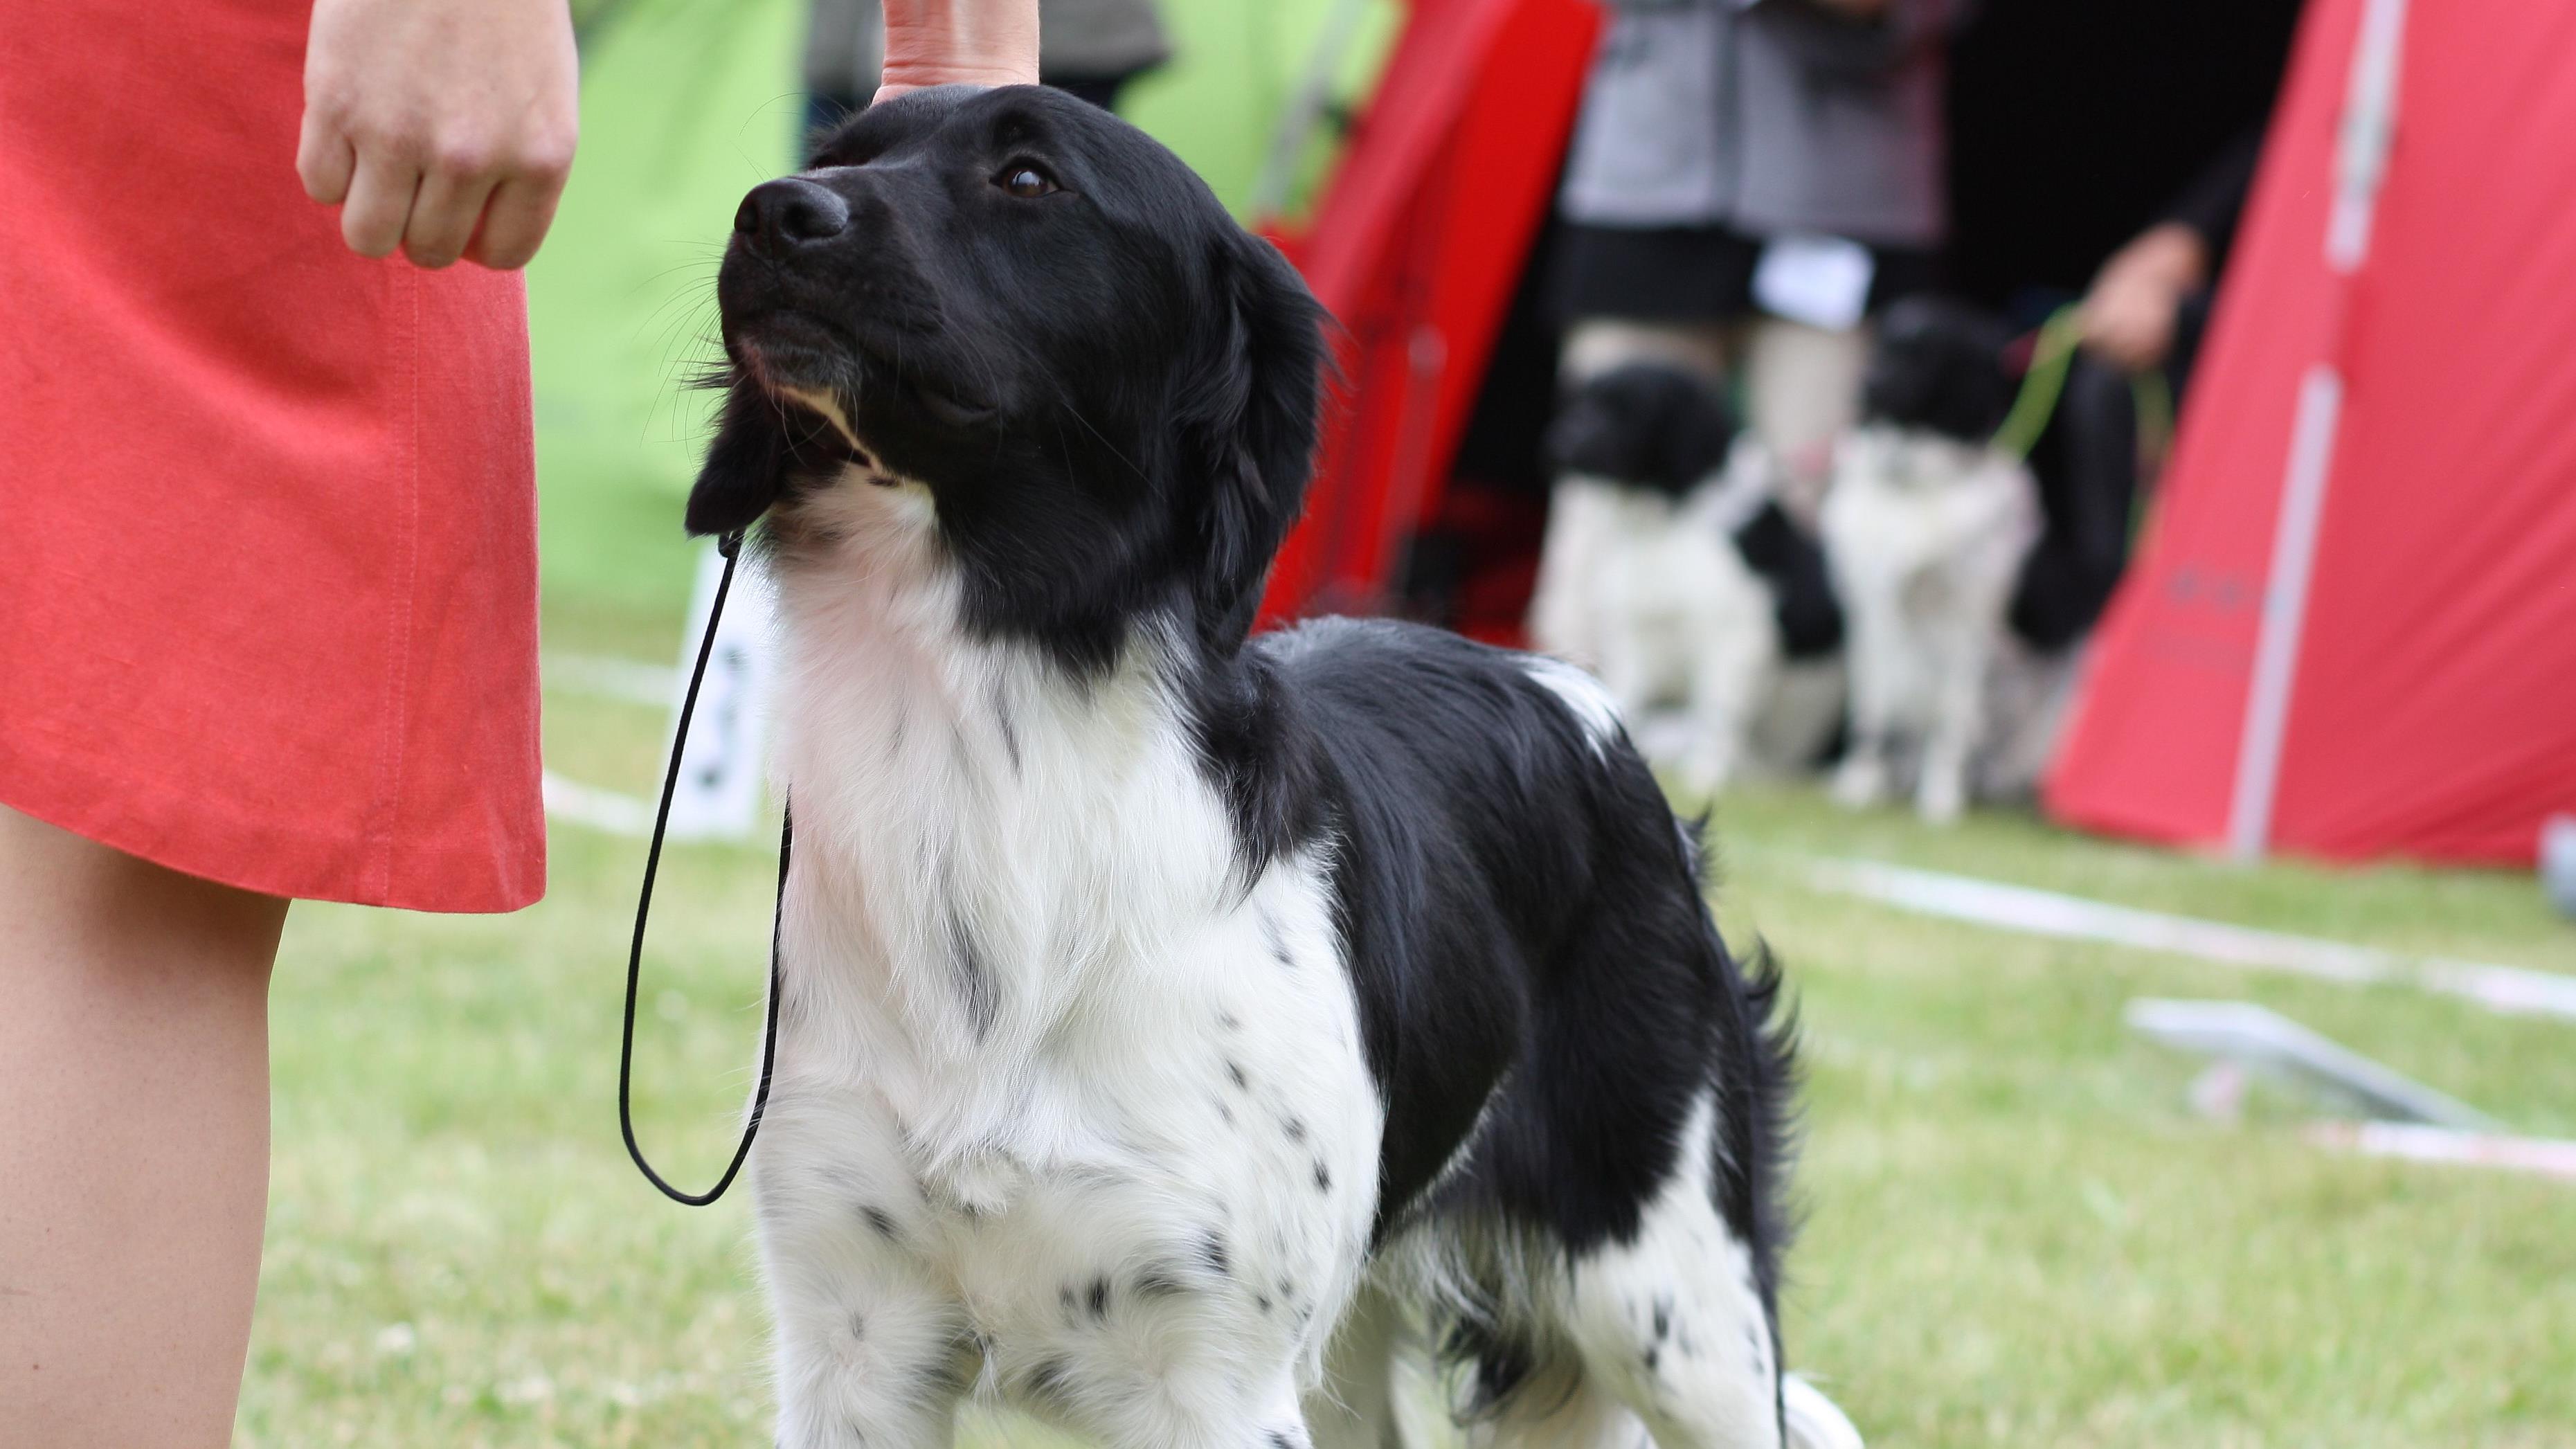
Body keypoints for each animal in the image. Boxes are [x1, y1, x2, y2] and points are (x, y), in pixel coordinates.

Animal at [1524, 358, 1855, 789]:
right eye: (1582, 401)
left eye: (1629, 411)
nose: (1560, 443)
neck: (1669, 518)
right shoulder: (1637, 637)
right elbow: (1627, 701)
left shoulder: (1733, 637)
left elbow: (1717, 712)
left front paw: (1706, 774)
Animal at [1823, 294, 2040, 825]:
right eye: (1883, 344)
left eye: (1924, 356)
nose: (1864, 386)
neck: (1910, 485)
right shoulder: (1871, 608)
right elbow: (1873, 713)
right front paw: (1858, 787)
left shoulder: (1966, 615)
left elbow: (1949, 719)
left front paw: (1940, 800)